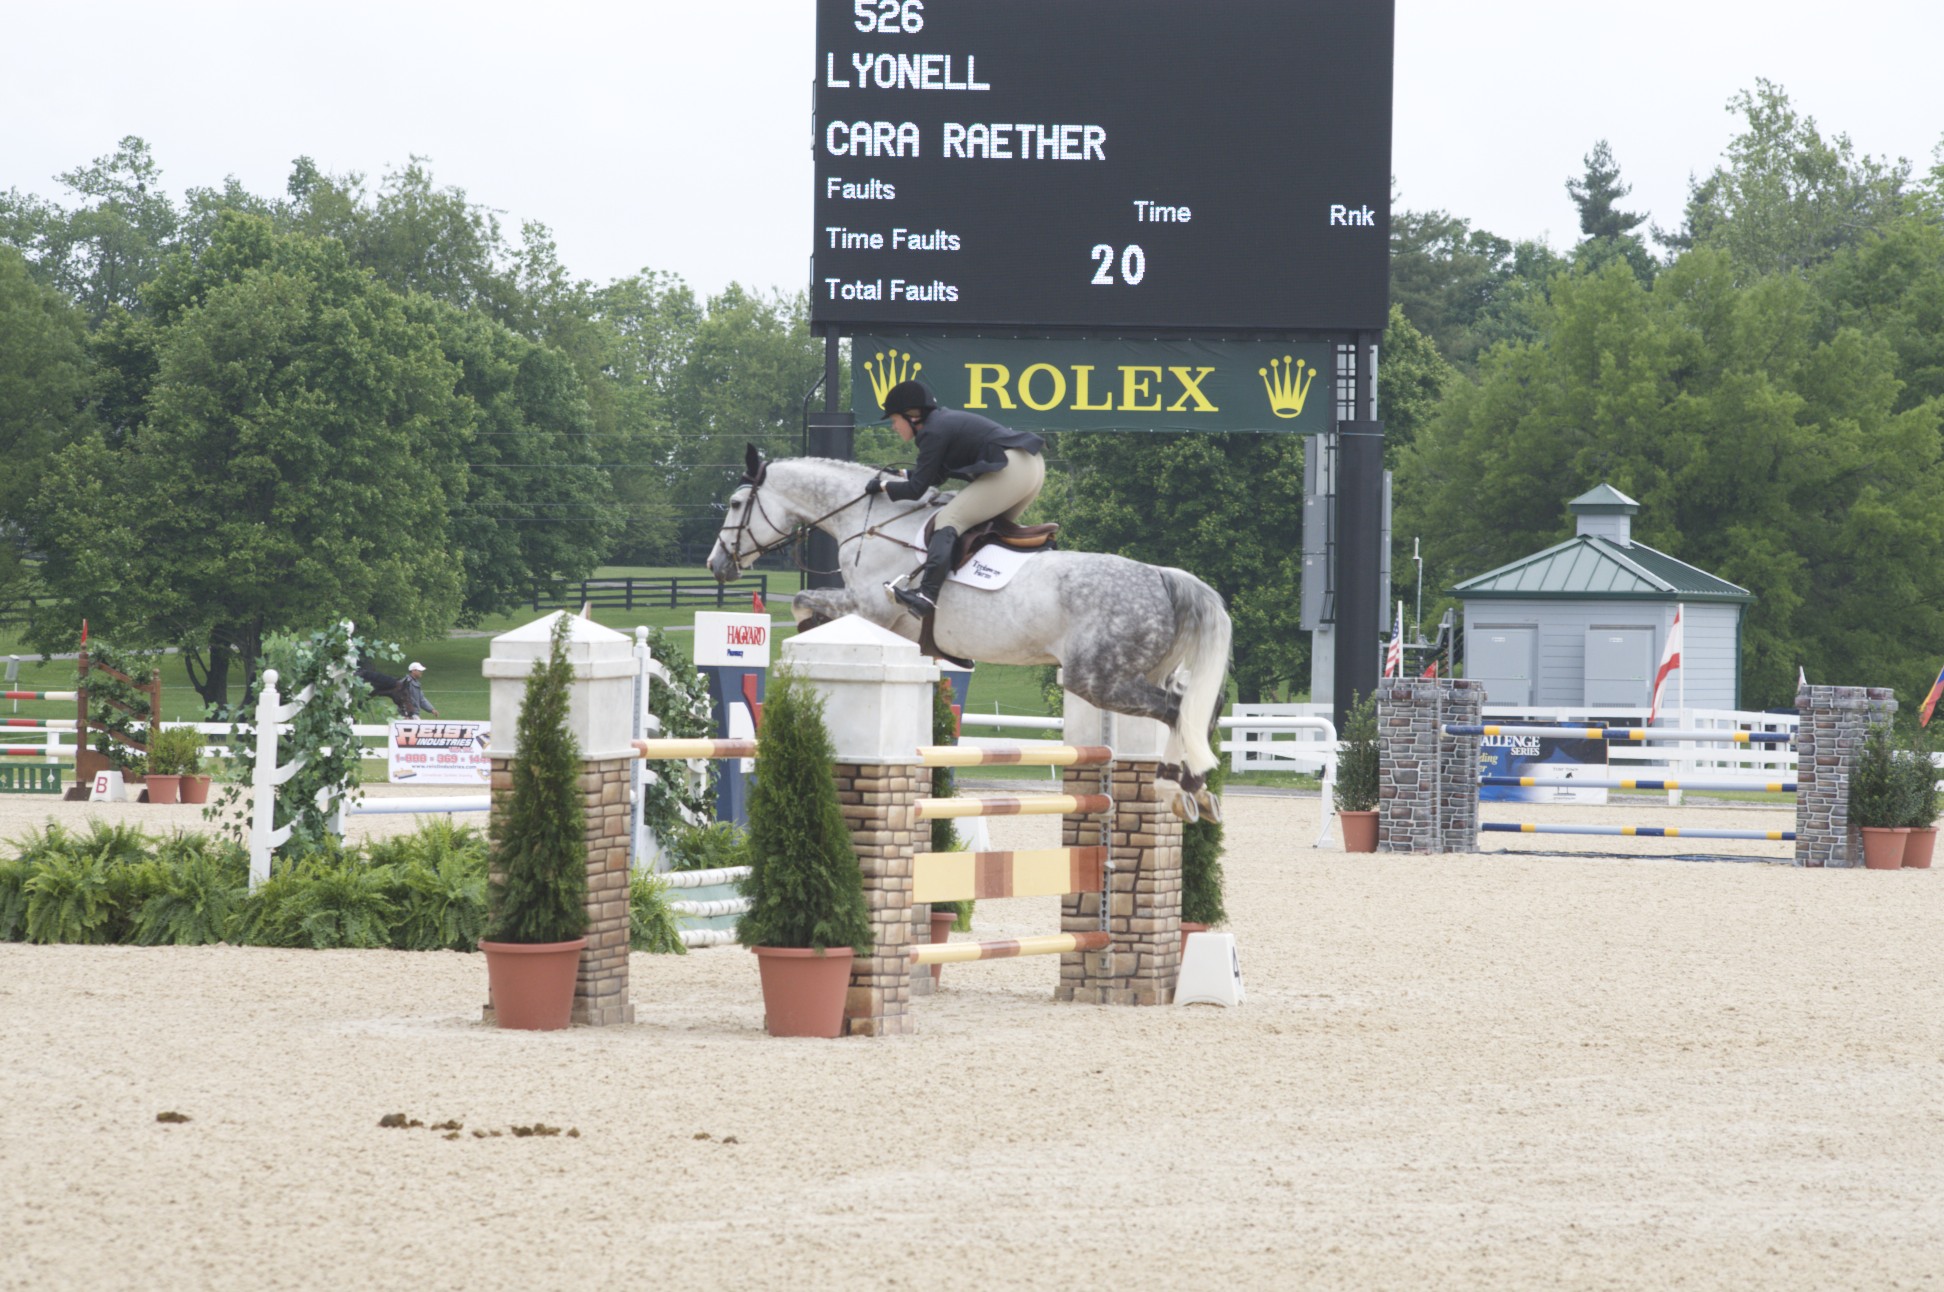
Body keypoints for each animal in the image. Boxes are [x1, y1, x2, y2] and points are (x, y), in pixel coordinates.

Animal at [707, 448, 1236, 819]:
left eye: (734, 503)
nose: (716, 564)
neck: (869, 522)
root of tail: (1161, 576)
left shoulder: (870, 608)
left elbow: (803, 602)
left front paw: (811, 633)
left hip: (1095, 678)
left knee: (1176, 710)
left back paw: (1177, 785)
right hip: (1133, 672)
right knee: (1190, 709)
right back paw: (1191, 789)